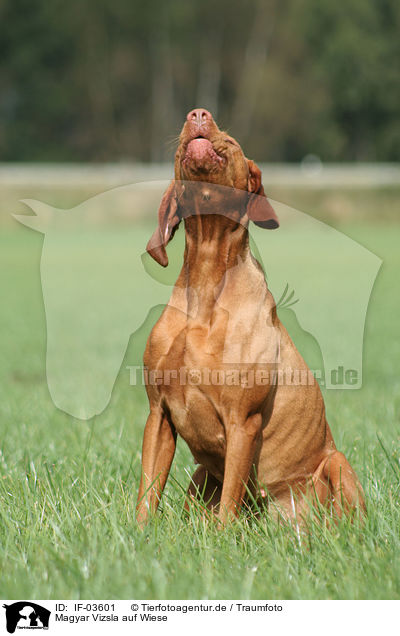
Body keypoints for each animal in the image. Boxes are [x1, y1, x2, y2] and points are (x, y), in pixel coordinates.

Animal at [135, 108, 366, 528]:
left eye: (231, 140)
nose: (198, 113)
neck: (207, 280)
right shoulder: (158, 414)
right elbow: (148, 492)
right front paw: (138, 533)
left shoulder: (243, 422)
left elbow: (230, 501)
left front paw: (221, 538)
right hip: (200, 478)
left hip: (336, 463)